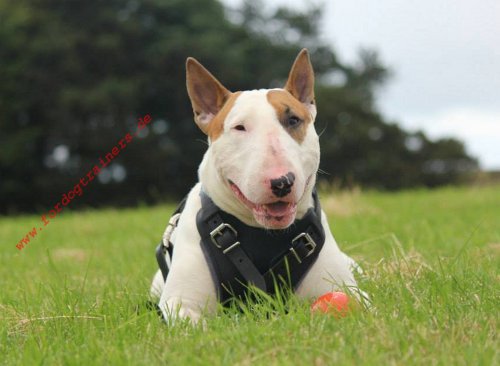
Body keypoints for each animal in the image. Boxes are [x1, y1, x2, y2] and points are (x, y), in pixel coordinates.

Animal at [148, 49, 364, 324]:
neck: (262, 232)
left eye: (293, 119)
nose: (282, 182)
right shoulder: (181, 302)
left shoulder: (347, 288)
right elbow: (191, 321)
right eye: (239, 127)